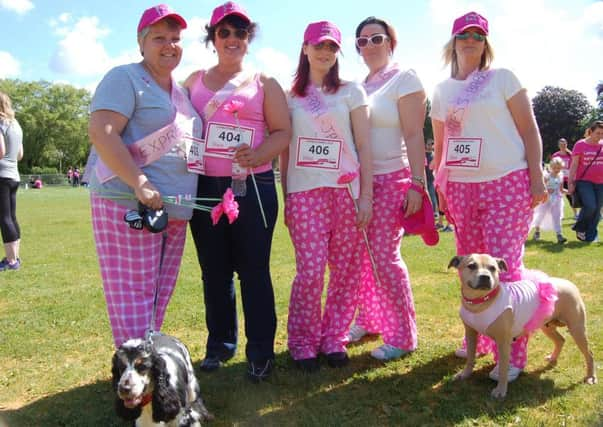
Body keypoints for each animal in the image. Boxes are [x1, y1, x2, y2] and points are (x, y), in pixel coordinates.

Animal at [448, 254, 596, 398]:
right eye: (471, 266)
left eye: (493, 268)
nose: (485, 277)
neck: (480, 302)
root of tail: (570, 283)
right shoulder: (470, 334)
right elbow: (470, 357)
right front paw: (465, 374)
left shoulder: (503, 342)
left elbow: (503, 369)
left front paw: (501, 390)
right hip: (547, 326)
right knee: (561, 340)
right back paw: (553, 358)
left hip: (577, 328)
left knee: (589, 353)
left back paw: (590, 376)